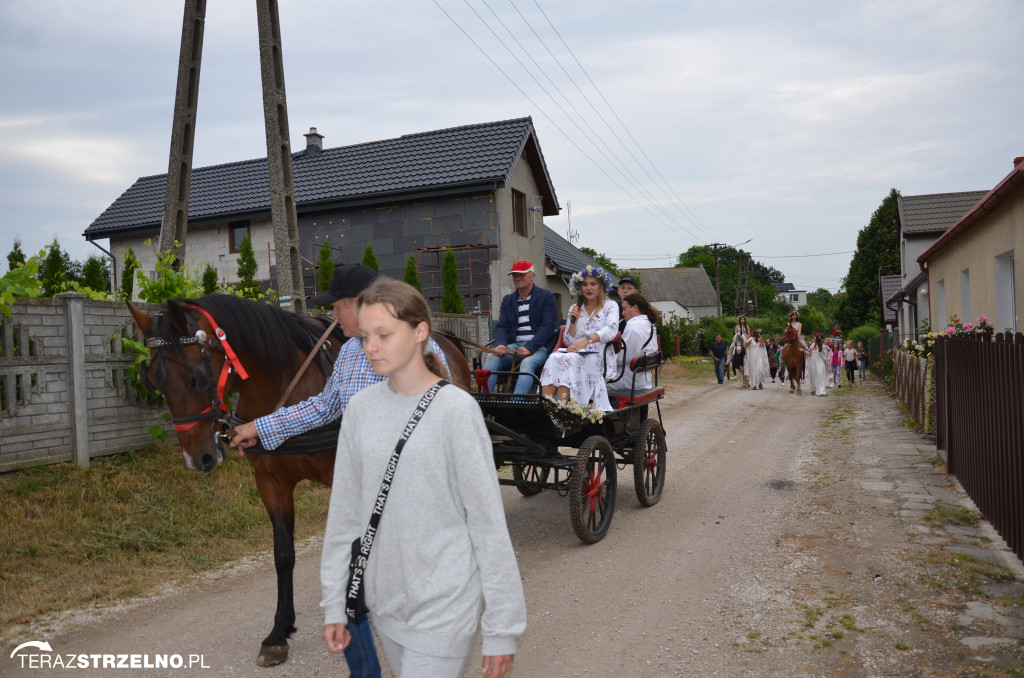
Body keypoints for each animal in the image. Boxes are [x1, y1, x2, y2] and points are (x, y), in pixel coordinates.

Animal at [124, 297, 471, 667]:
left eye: (196, 377)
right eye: (154, 380)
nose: (197, 460)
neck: (285, 385)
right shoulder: (271, 483)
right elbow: (284, 555)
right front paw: (279, 632)